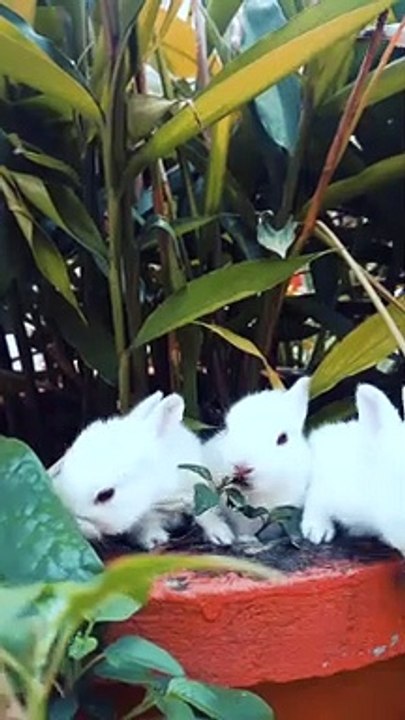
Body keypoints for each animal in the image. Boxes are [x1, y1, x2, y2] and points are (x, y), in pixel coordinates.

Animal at [52, 391, 234, 550]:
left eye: (106, 495)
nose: (78, 525)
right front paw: (154, 539)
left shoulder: (197, 492)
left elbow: (207, 514)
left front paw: (222, 536)